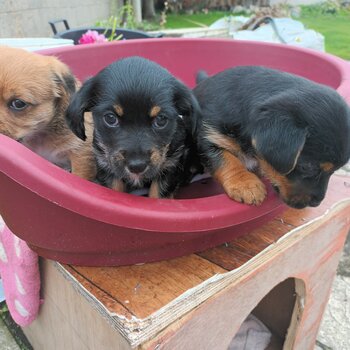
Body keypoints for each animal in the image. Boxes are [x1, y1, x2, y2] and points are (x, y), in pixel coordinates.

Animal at [65, 56, 201, 198]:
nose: (137, 166)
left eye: (161, 119)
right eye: (110, 118)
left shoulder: (170, 166)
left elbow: (157, 196)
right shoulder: (107, 167)